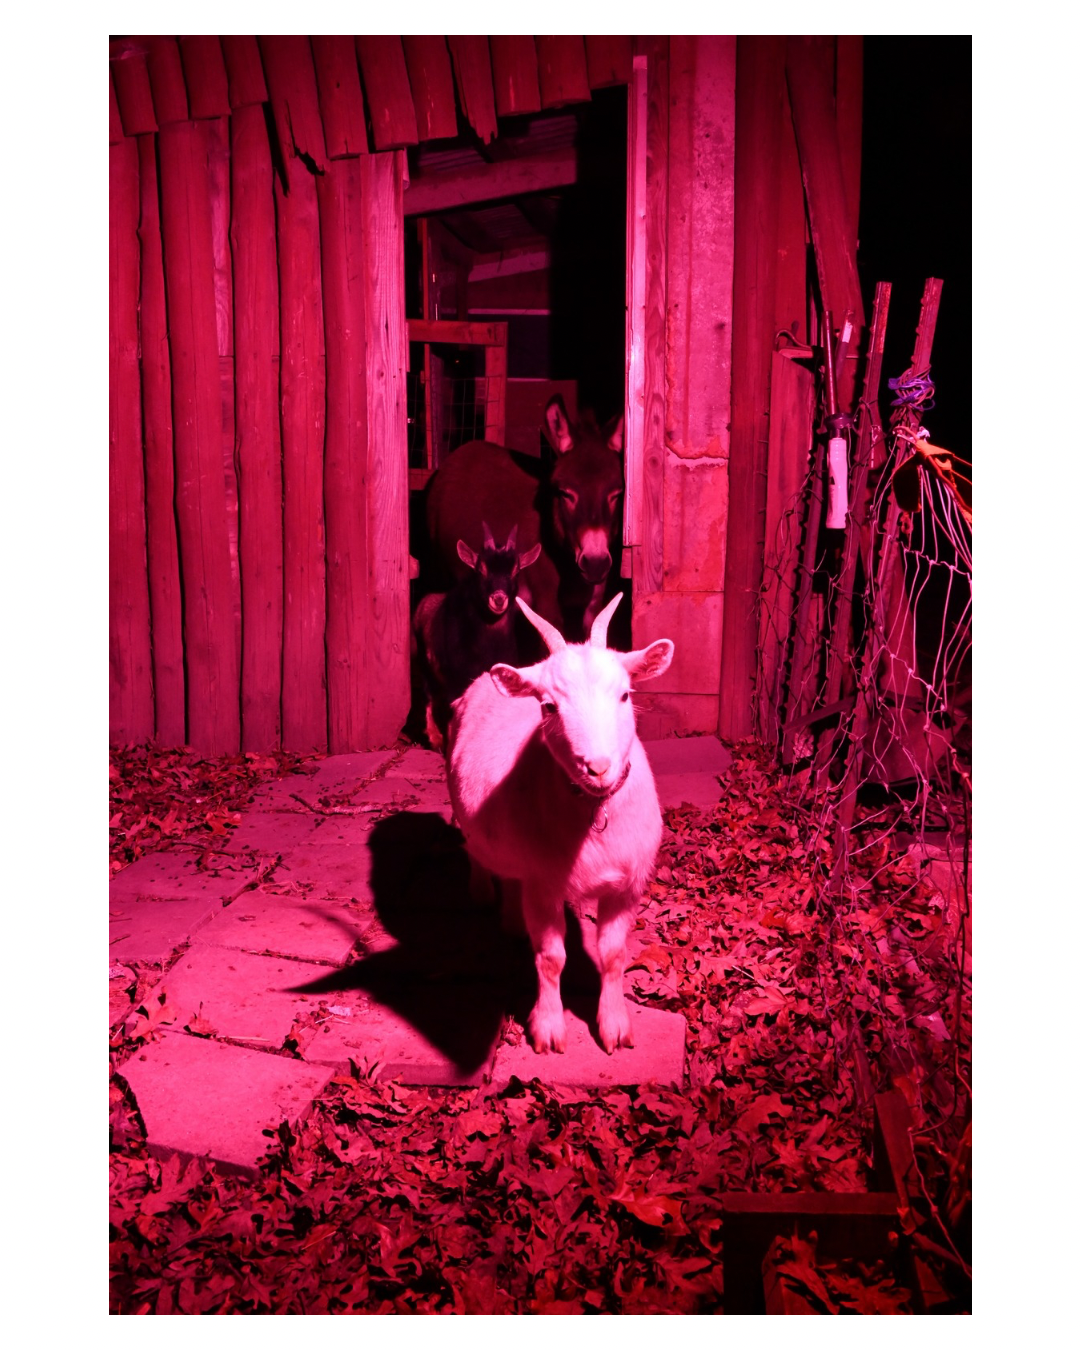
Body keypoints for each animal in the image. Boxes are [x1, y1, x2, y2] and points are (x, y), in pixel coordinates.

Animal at [413, 523, 541, 748]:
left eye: (516, 571)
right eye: (481, 569)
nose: (498, 599)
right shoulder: (456, 680)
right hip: (424, 663)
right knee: (428, 695)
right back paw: (435, 737)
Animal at [446, 591, 674, 1054]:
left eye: (625, 695)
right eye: (548, 706)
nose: (598, 767)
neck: (594, 814)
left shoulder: (628, 883)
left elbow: (613, 955)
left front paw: (614, 1025)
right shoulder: (543, 884)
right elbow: (551, 958)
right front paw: (549, 1028)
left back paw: (511, 920)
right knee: (476, 849)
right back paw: (482, 892)